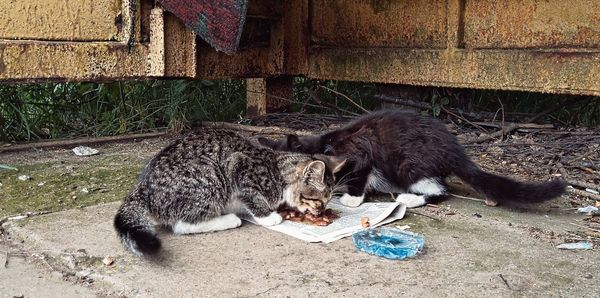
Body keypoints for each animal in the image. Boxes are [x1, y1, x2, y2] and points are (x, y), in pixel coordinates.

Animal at [115, 128, 344, 256]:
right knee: (183, 224)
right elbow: (253, 197)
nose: (320, 213)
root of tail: (142, 188)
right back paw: (229, 219)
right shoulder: (239, 167)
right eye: (319, 201)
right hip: (209, 175)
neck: (277, 170)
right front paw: (269, 216)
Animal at [258, 108, 568, 208]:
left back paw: (408, 198)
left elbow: (360, 173)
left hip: (409, 162)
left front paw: (351, 198)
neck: (326, 144)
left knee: (440, 190)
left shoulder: (360, 154)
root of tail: (455, 149)